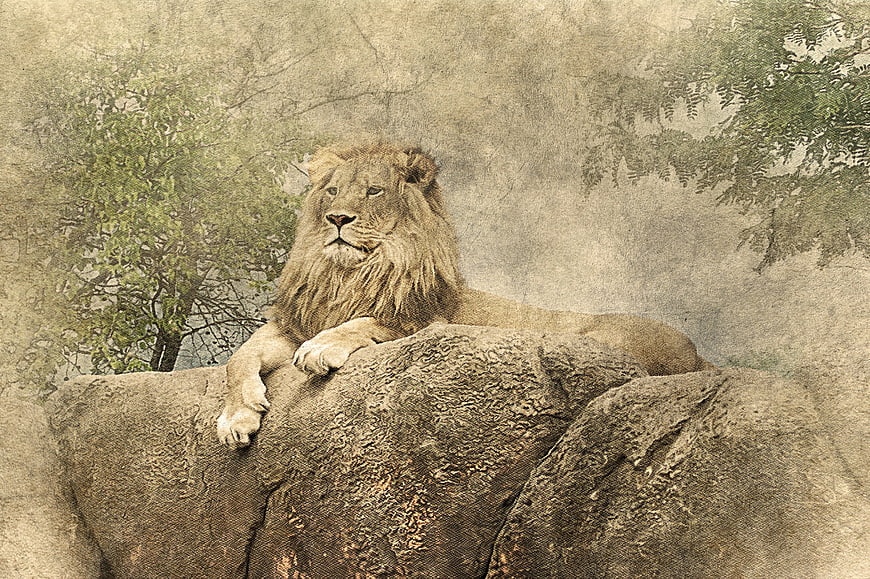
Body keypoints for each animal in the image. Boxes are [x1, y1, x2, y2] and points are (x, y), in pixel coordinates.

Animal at [217, 142, 713, 447]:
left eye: (374, 190)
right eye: (333, 191)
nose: (337, 218)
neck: (351, 273)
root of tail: (699, 353)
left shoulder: (417, 320)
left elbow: (362, 323)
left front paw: (320, 350)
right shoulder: (295, 323)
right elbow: (239, 358)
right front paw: (236, 418)